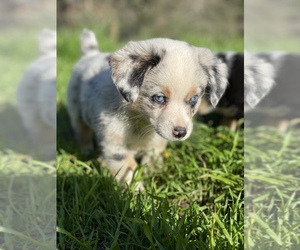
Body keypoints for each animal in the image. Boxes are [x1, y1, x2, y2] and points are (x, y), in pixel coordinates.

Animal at [68, 35, 227, 188]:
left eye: (194, 99)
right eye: (160, 98)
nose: (181, 133)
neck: (139, 119)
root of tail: (91, 54)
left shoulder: (157, 141)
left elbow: (152, 158)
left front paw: (154, 175)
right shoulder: (114, 145)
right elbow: (127, 172)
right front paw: (135, 192)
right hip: (75, 110)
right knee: (82, 130)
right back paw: (86, 149)